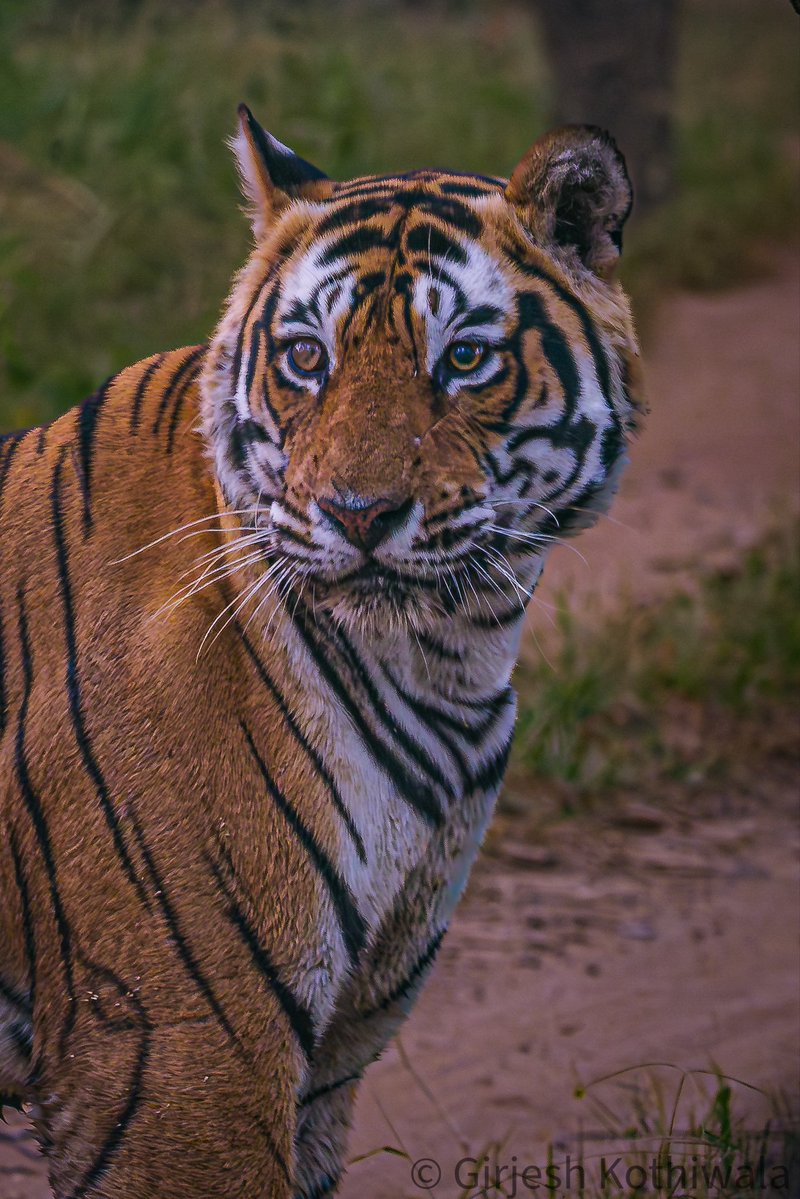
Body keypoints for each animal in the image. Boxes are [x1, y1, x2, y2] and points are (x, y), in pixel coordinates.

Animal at [0, 105, 643, 1198]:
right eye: (307, 356)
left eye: (463, 359)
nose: (358, 512)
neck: (447, 655)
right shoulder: (181, 1057)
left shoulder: (334, 1047)